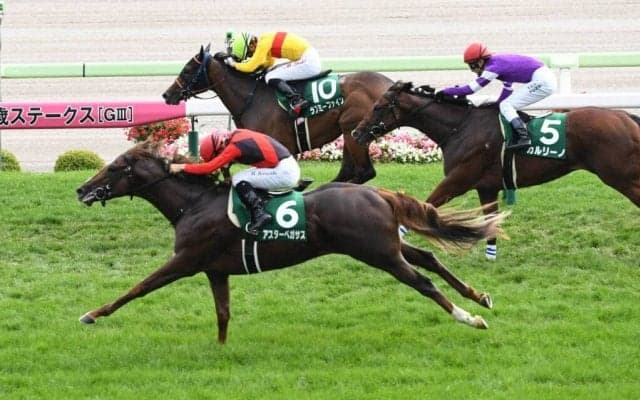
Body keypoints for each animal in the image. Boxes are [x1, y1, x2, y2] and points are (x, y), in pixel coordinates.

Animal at [75, 140, 507, 344]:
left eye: (115, 168)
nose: (82, 189)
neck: (193, 205)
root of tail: (378, 193)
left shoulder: (186, 260)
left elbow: (138, 288)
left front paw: (92, 314)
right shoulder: (215, 270)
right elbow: (223, 314)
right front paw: (220, 351)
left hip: (379, 253)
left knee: (423, 281)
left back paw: (470, 317)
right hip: (385, 246)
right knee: (429, 257)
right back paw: (480, 296)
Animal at [162, 44, 393, 184]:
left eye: (187, 70)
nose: (167, 94)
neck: (251, 99)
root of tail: (389, 84)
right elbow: (224, 162)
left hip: (354, 130)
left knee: (364, 172)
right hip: (349, 133)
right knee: (349, 171)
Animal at [352, 80, 640, 259]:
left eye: (378, 106)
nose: (356, 133)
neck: (460, 128)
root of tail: (626, 117)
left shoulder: (458, 179)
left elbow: (428, 204)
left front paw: (400, 232)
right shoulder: (486, 186)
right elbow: (490, 216)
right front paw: (491, 252)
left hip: (621, 177)